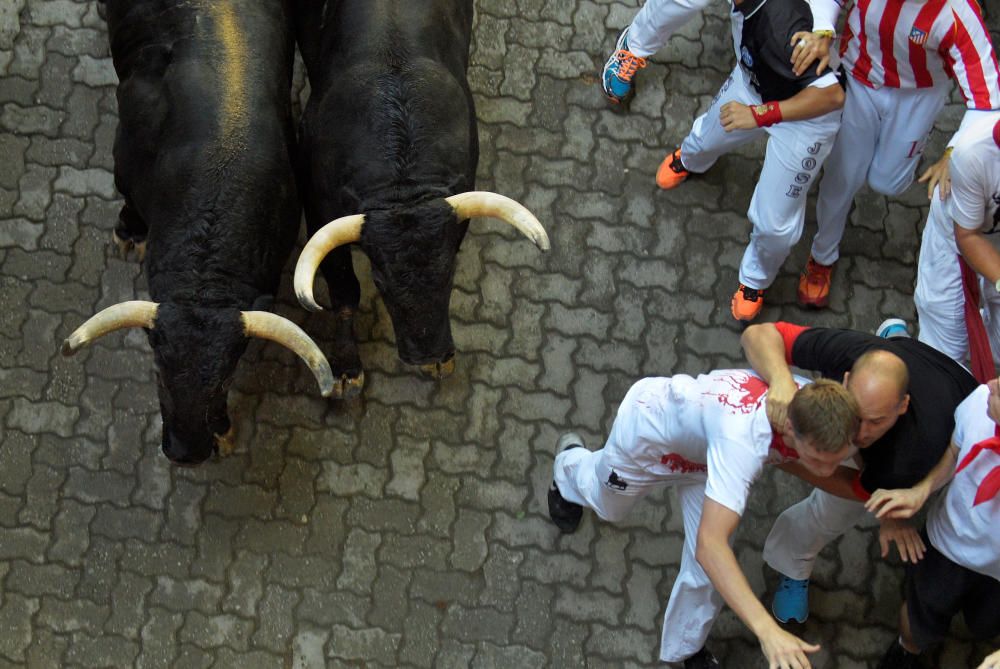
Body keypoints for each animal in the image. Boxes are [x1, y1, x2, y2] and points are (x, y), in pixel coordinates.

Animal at [290, 0, 556, 396]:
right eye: (380, 280)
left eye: (449, 273)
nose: (427, 353)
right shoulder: (318, 206)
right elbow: (344, 287)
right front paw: (346, 369)